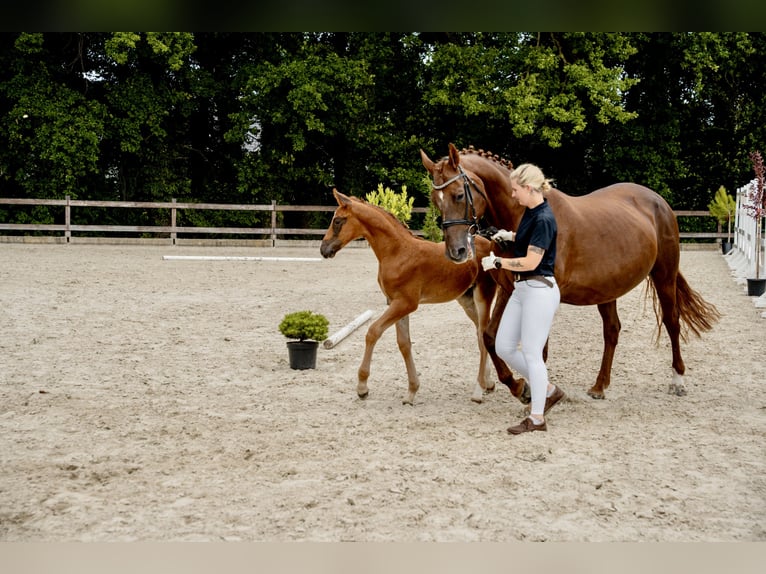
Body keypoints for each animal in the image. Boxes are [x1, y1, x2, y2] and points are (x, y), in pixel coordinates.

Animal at [319, 188, 503, 405]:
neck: (397, 251)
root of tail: (490, 244)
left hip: (483, 295)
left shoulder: (406, 303)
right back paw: (489, 383)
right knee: (480, 334)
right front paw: (411, 391)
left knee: (483, 335)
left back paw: (478, 390)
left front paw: (362, 387)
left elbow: (373, 332)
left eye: (338, 221)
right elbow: (404, 343)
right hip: (466, 300)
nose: (323, 249)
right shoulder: (395, 303)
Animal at [421, 143, 720, 401]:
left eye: (459, 195)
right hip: (607, 290)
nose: (456, 251)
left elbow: (538, 347)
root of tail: (658, 202)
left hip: (664, 276)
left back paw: (677, 380)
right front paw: (518, 386)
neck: (524, 215)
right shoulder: (509, 290)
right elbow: (490, 336)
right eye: (435, 201)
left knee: (671, 321)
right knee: (612, 330)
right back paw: (600, 386)